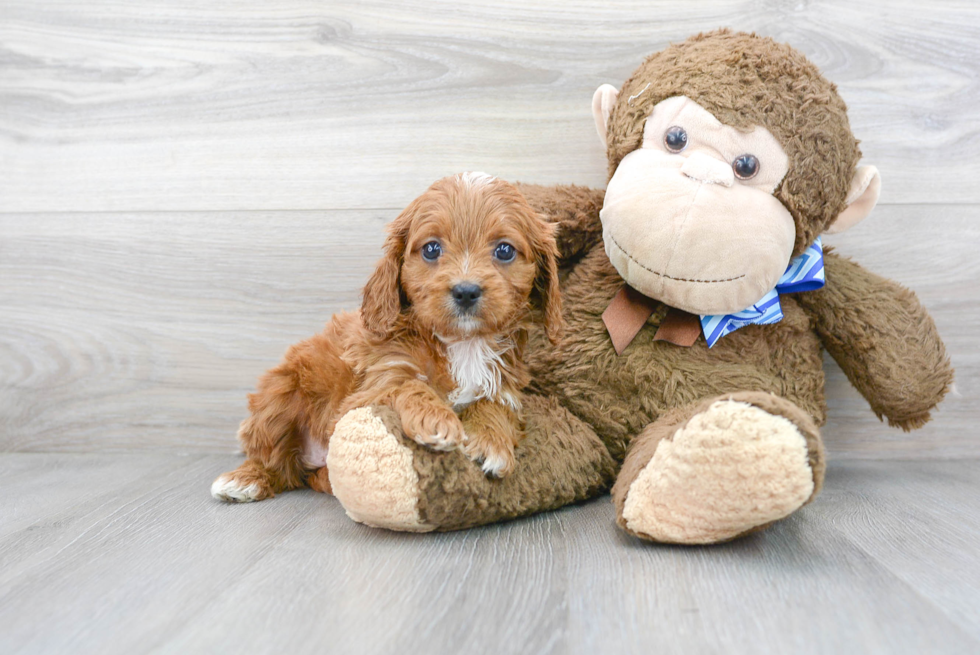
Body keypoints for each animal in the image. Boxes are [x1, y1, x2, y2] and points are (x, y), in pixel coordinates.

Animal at [214, 173, 568, 502]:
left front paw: (490, 442)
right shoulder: (366, 390)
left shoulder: (504, 384)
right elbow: (407, 384)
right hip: (281, 393)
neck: (462, 344)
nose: (466, 291)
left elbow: (495, 404)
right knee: (274, 460)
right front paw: (436, 419)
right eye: (431, 249)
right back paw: (244, 479)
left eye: (505, 250)